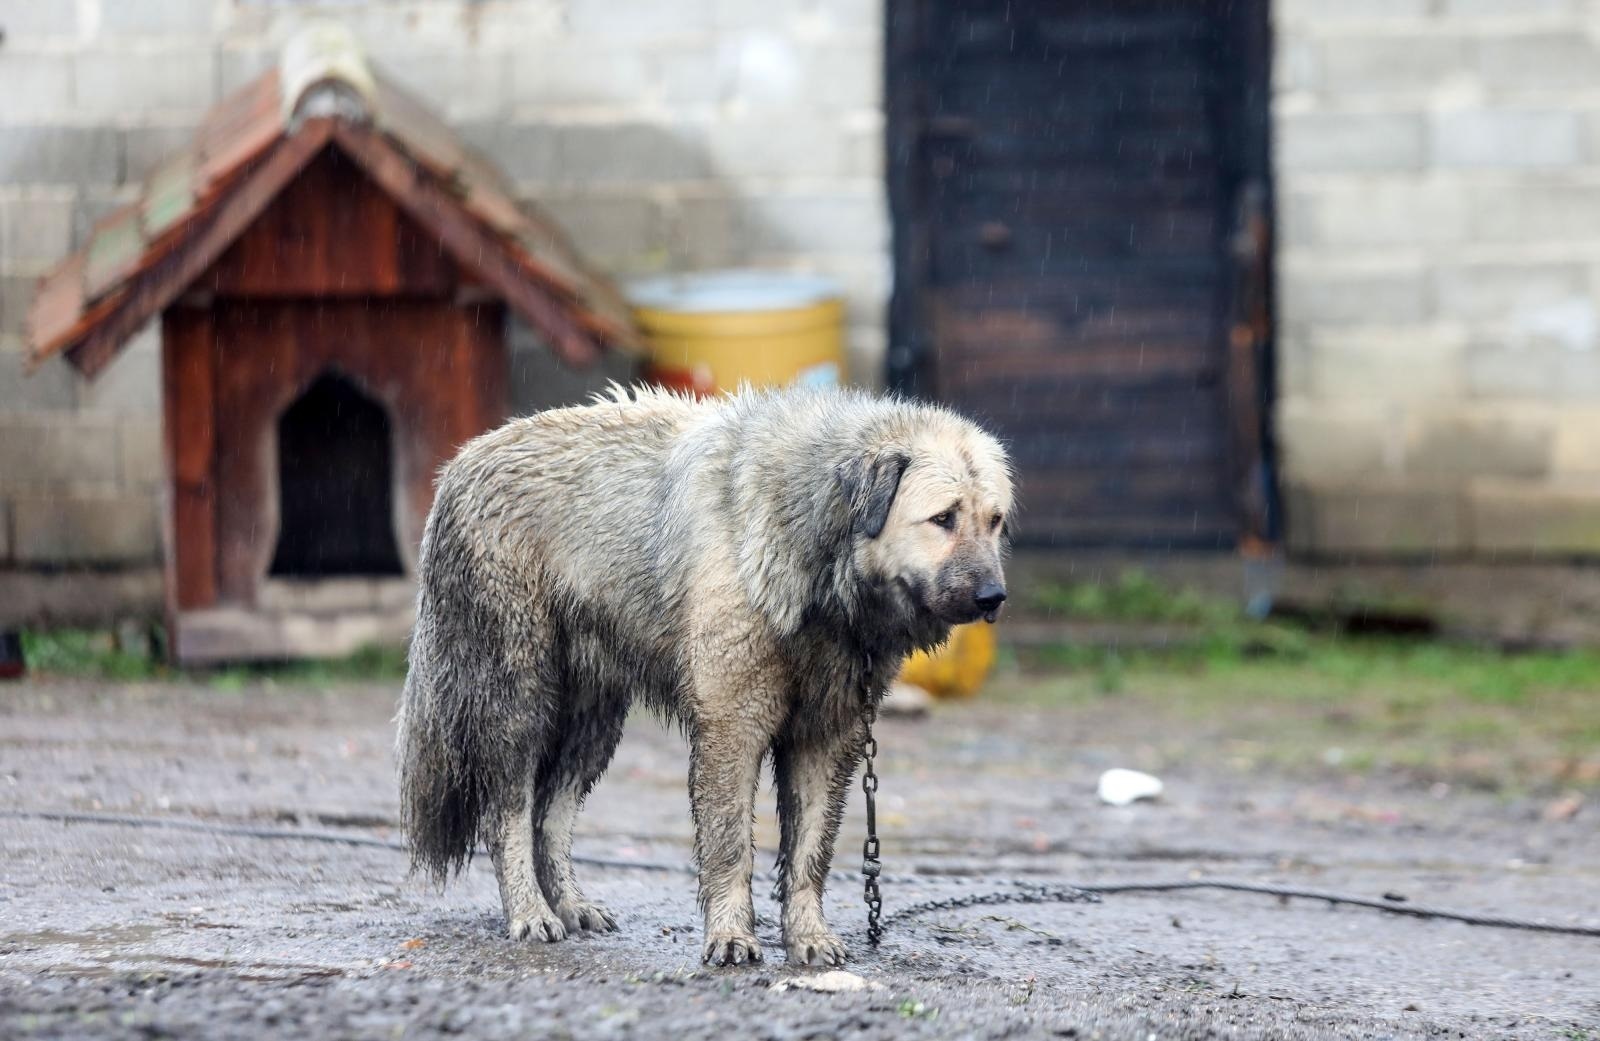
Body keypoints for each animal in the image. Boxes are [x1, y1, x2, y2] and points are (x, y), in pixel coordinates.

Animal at [395, 385, 1011, 972]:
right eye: (943, 518)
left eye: (994, 520)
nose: (993, 597)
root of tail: (459, 465)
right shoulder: (732, 726)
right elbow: (731, 844)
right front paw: (732, 937)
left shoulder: (825, 739)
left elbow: (810, 854)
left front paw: (807, 937)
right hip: (519, 705)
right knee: (510, 815)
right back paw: (529, 912)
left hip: (591, 724)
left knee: (551, 815)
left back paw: (569, 905)